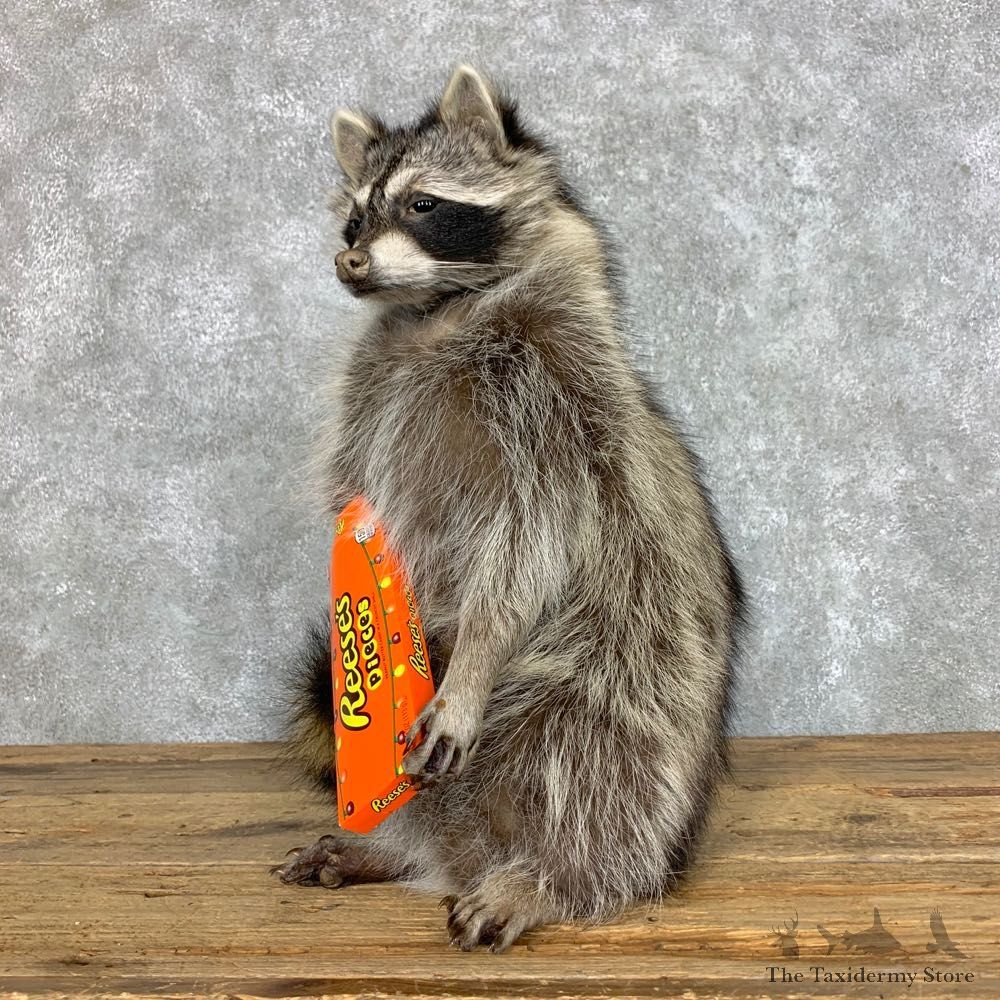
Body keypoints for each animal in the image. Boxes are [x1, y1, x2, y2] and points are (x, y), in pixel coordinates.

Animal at [273, 65, 746, 953]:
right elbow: (361, 501)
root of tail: (469, 851)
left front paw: (471, 662)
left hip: (633, 662)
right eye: (354, 215)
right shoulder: (373, 395)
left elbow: (526, 549)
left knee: (596, 759)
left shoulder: (553, 412)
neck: (439, 313)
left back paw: (552, 876)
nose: (349, 259)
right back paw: (394, 847)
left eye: (423, 204)